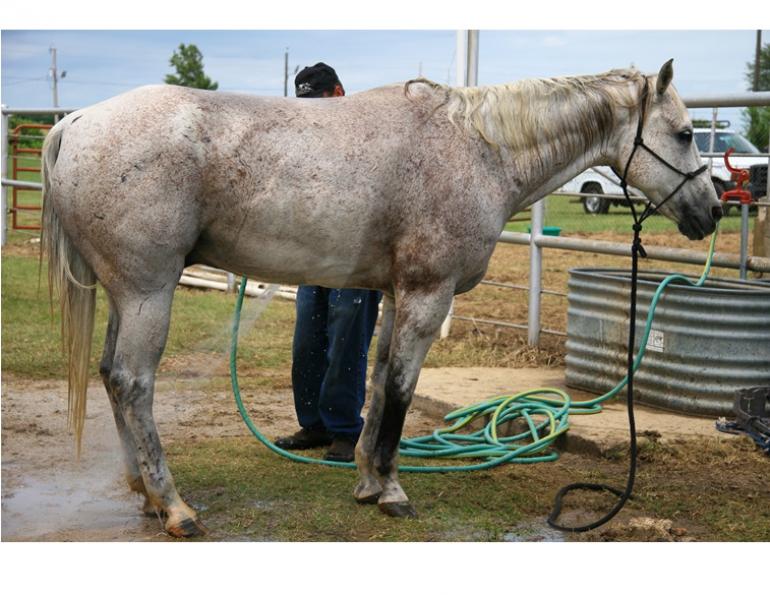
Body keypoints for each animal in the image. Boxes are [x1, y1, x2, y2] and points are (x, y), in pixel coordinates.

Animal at [41, 60, 721, 537]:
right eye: (687, 133)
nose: (712, 211)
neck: (479, 149)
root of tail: (77, 122)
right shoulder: (427, 295)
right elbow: (399, 390)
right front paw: (392, 492)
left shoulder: (396, 297)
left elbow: (376, 380)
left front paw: (368, 478)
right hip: (149, 293)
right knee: (133, 383)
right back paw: (176, 507)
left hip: (125, 295)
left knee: (111, 377)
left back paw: (143, 493)